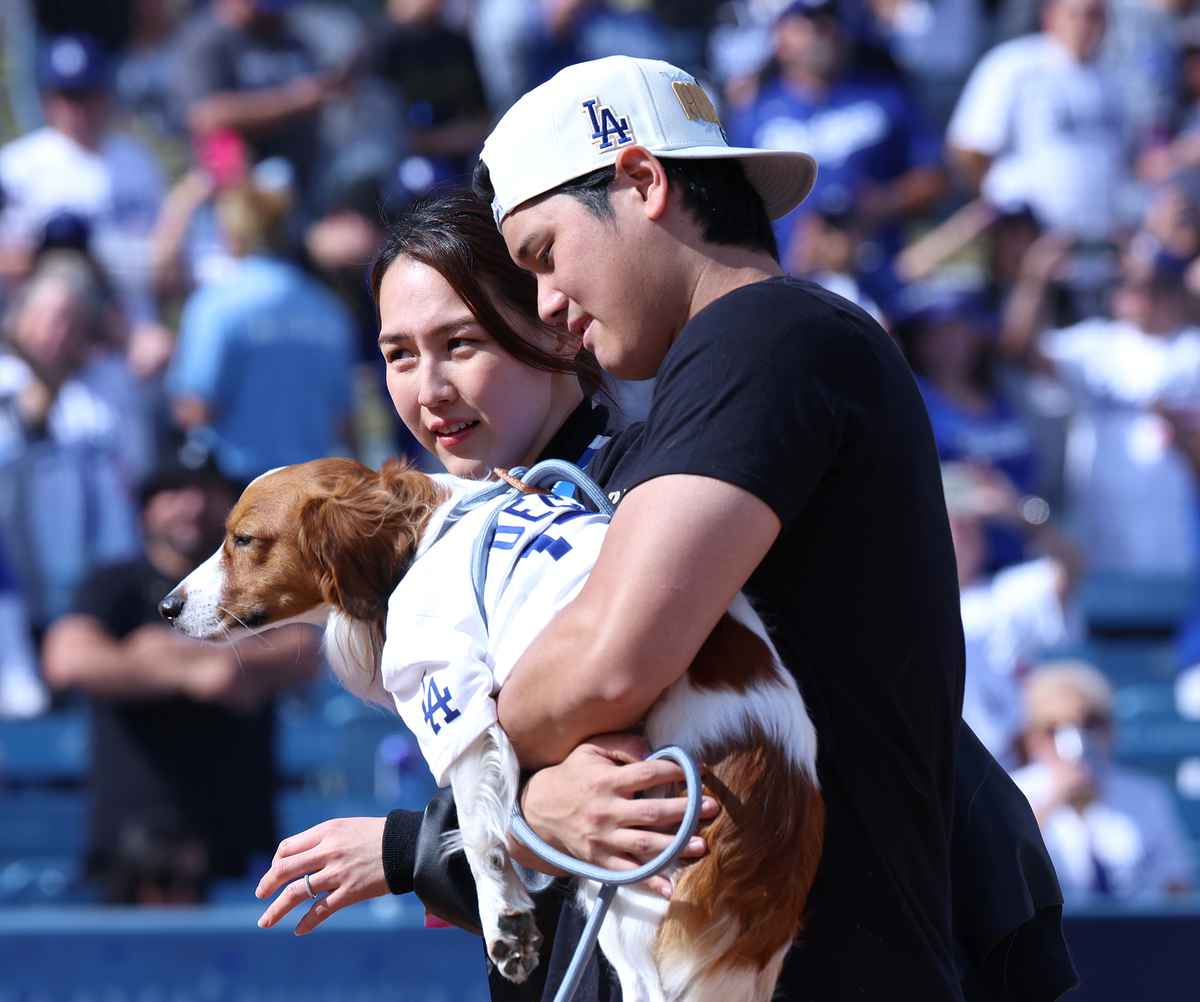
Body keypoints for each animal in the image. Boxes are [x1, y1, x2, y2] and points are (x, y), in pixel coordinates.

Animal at [159, 458, 820, 998]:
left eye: (244, 540)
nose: (166, 607)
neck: (422, 537)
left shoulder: (457, 698)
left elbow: (480, 834)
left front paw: (505, 920)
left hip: (632, 908)